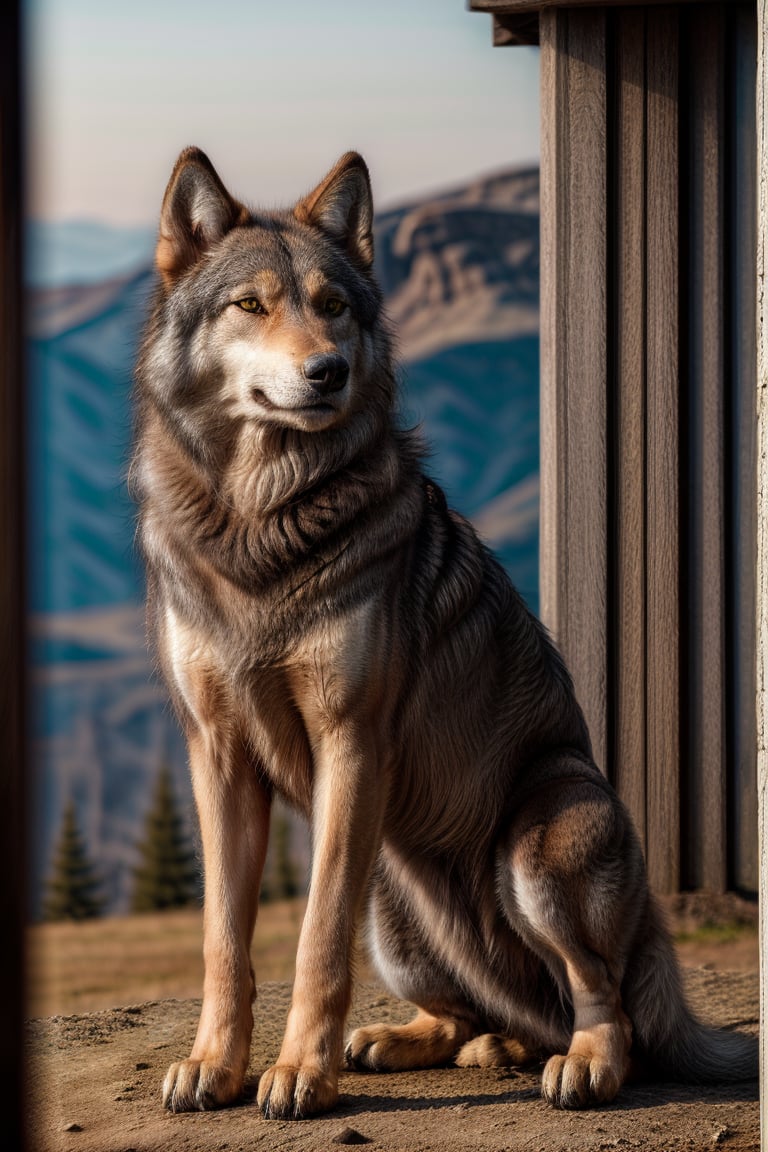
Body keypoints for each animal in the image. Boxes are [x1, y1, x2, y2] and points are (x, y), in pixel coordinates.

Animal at [132, 148, 755, 1119]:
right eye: (252, 306)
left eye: (334, 305)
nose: (328, 372)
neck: (259, 521)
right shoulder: (218, 756)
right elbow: (223, 941)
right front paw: (214, 1066)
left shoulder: (351, 745)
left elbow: (313, 941)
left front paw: (297, 1074)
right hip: (393, 892)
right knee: (475, 1011)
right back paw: (424, 1042)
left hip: (542, 838)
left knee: (605, 1001)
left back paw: (580, 1065)